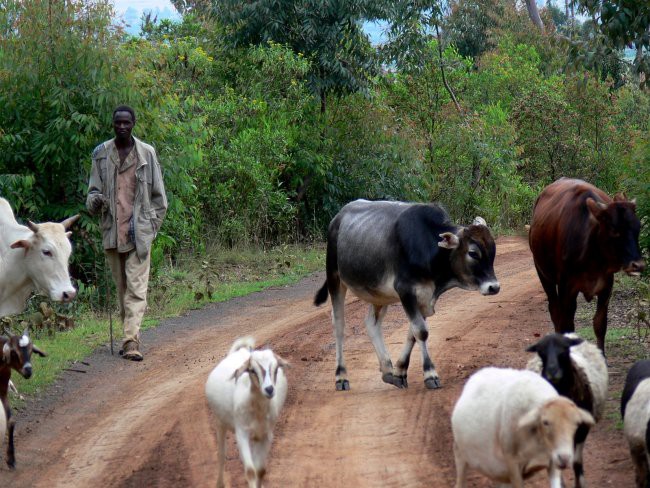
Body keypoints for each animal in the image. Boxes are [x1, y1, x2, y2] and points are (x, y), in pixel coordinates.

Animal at [205, 336, 288, 488]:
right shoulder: (241, 433)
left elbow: (260, 470)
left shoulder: (266, 435)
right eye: (252, 370)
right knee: (221, 455)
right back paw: (220, 483)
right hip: (220, 422)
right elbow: (250, 471)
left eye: (276, 369)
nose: (269, 389)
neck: (257, 409)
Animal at [312, 197, 498, 388]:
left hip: (379, 294)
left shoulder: (425, 298)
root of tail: (338, 217)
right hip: (334, 277)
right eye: (473, 253)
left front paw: (400, 371)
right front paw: (430, 374)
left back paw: (387, 370)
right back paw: (341, 376)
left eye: (493, 250)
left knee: (372, 323)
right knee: (339, 325)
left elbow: (413, 334)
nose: (494, 287)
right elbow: (421, 332)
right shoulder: (406, 291)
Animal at [450, 366, 592, 488]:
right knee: (459, 481)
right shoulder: (512, 463)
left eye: (577, 423)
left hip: (498, 471)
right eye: (545, 422)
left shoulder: (552, 463)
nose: (565, 458)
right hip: (460, 452)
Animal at [528, 177, 644, 352]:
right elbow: (567, 325)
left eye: (638, 228)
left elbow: (600, 325)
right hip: (543, 273)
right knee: (555, 312)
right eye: (614, 230)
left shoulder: (606, 286)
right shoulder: (566, 288)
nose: (638, 265)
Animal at [528, 332, 608, 488]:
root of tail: (569, 334)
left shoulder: (583, 428)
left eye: (565, 349)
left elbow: (576, 462)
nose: (552, 371)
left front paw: (580, 484)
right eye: (541, 351)